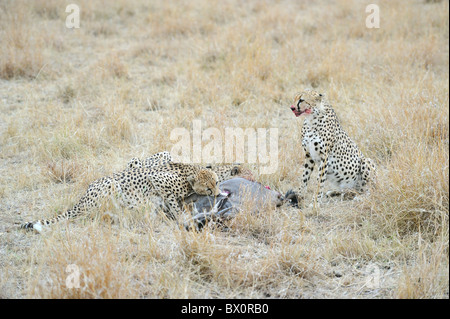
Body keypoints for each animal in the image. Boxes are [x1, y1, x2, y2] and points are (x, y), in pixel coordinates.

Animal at [20, 160, 225, 232]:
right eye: (208, 189)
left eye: (216, 183)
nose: (216, 194)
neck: (189, 172)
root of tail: (83, 198)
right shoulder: (157, 181)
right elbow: (172, 203)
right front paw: (180, 216)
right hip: (111, 188)